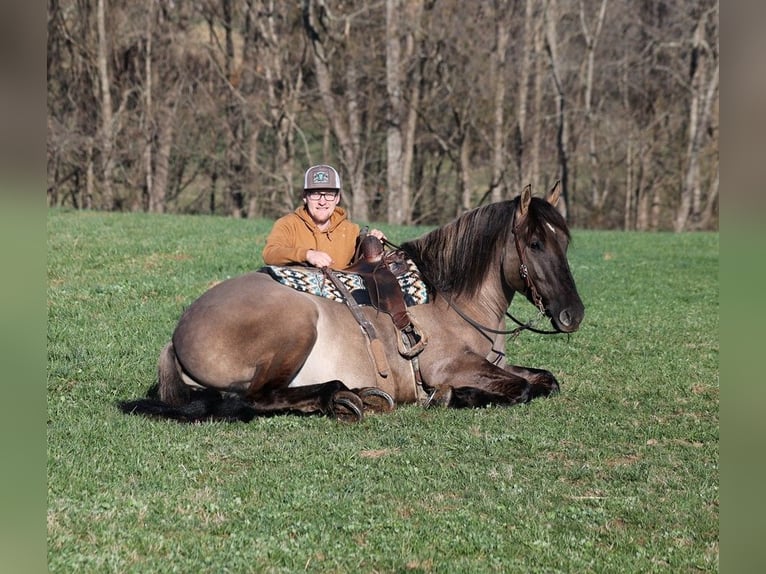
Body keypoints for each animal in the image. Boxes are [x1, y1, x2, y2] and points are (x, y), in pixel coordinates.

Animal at [121, 187, 588, 426]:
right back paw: (343, 398)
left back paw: (360, 394)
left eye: (565, 241)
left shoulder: (494, 363)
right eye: (535, 243)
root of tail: (177, 335)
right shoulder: (451, 367)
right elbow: (522, 389)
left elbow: (545, 380)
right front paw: (455, 397)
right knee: (258, 398)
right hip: (296, 328)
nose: (573, 314)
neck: (452, 301)